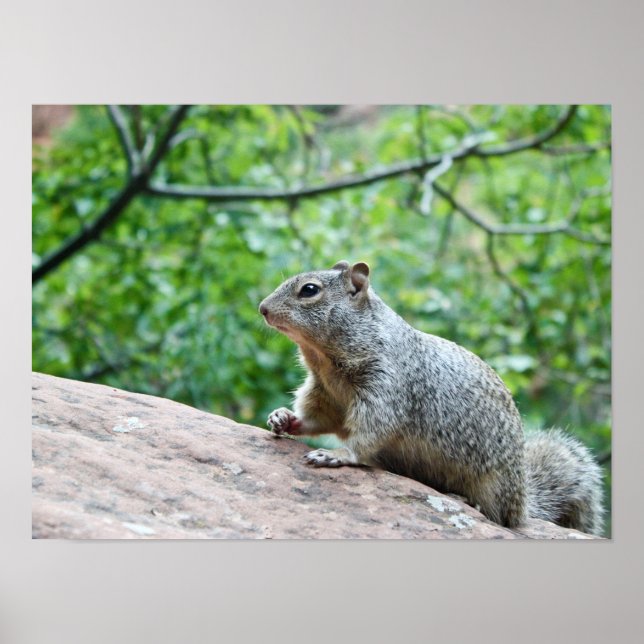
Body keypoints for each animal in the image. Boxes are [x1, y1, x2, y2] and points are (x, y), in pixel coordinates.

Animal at [259, 260, 604, 535]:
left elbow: (371, 432)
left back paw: (466, 500)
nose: (262, 308)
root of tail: (524, 501)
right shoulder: (324, 393)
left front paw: (337, 454)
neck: (326, 362)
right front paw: (283, 418)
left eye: (309, 290)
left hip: (495, 488)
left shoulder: (386, 389)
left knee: (498, 517)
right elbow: (317, 418)